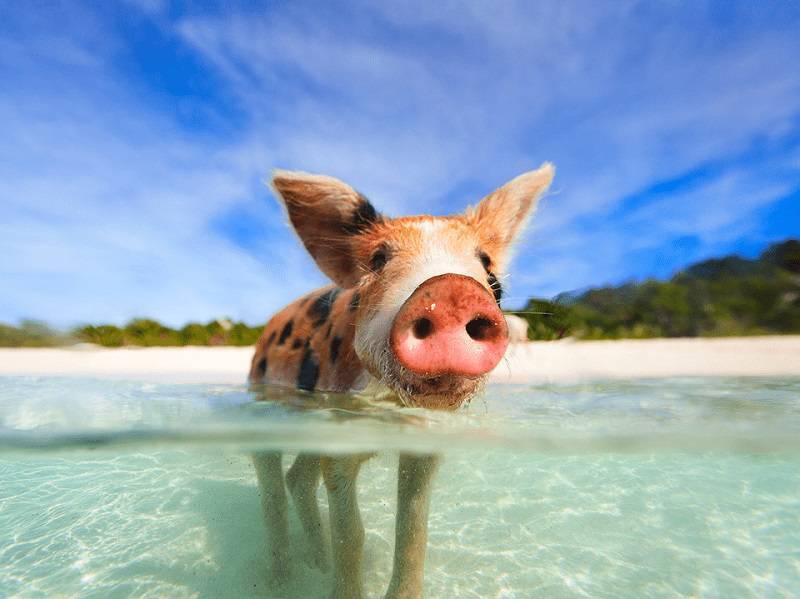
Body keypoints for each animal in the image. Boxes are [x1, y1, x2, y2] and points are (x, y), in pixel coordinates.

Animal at [249, 163, 554, 598]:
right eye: (378, 259)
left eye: (489, 269)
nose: (451, 290)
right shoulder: (339, 437)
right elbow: (352, 535)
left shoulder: (424, 444)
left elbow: (412, 533)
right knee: (273, 487)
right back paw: (280, 580)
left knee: (299, 480)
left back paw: (316, 564)